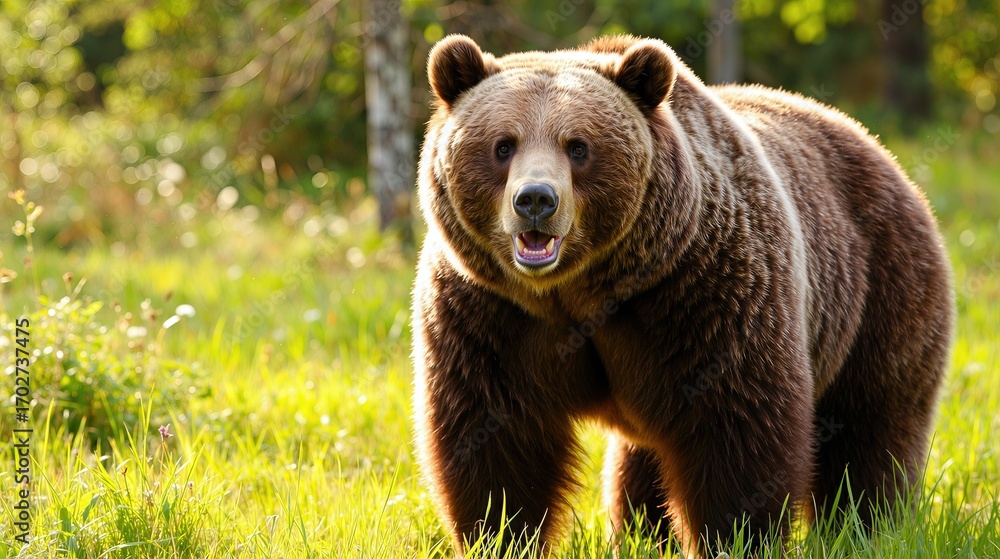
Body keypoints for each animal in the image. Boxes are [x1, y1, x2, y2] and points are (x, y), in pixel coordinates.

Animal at [411, 34, 954, 557]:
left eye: (578, 146)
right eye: (503, 145)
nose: (536, 200)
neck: (579, 292)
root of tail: (874, 145)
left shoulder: (702, 291)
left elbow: (734, 427)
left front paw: (735, 538)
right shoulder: (487, 311)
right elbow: (495, 438)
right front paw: (501, 535)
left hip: (880, 287)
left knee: (869, 427)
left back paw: (865, 527)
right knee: (643, 458)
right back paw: (644, 534)